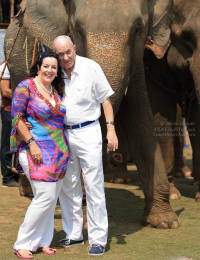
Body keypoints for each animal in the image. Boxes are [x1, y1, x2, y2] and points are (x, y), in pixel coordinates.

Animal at [5, 0, 180, 228]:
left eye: (137, 30)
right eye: (77, 30)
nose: (116, 155)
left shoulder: (136, 64)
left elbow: (141, 123)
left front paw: (164, 222)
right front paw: (85, 222)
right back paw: (30, 191)